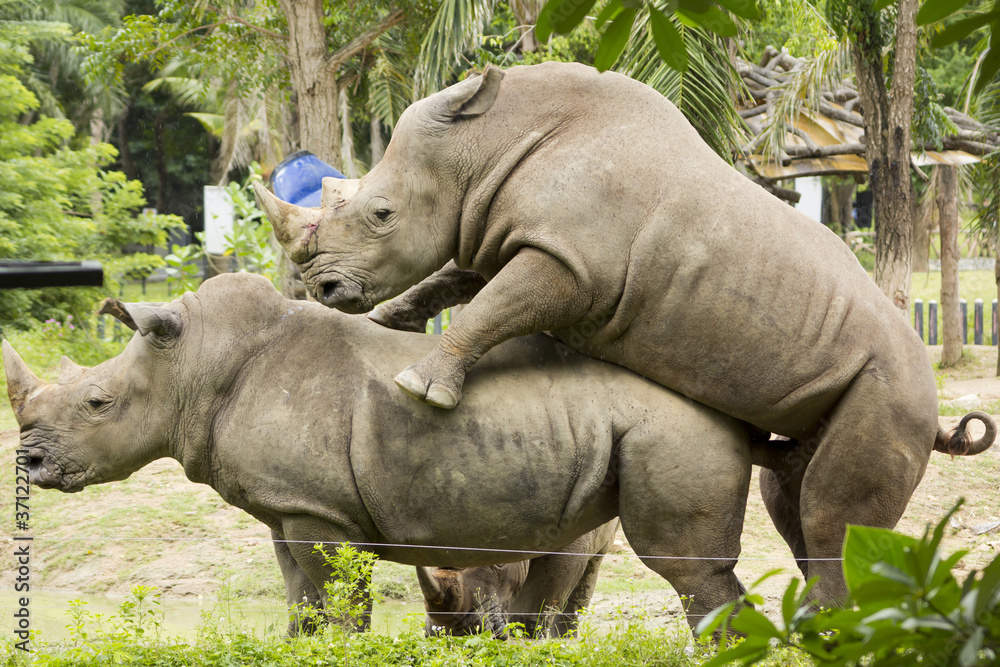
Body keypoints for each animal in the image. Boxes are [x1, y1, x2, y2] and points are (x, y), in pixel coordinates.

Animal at [253, 61, 997, 604]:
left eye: (381, 213)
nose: (324, 290)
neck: (487, 145)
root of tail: (933, 404)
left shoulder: (570, 266)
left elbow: (489, 306)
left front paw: (421, 386)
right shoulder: (513, 236)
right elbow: (459, 281)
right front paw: (392, 321)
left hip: (894, 387)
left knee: (826, 514)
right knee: (791, 500)